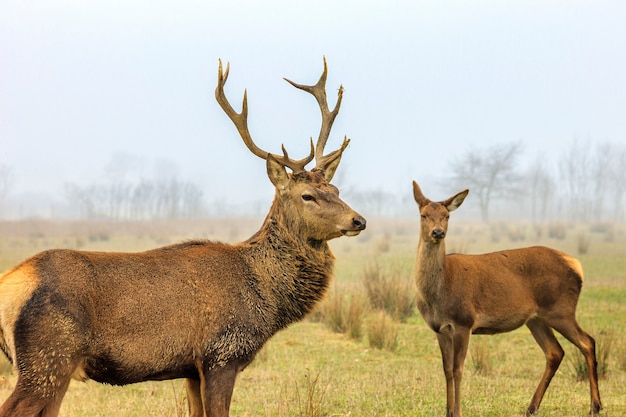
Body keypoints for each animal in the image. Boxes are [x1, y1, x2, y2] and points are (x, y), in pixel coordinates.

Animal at [0, 59, 366, 416]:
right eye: (308, 196)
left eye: (336, 189)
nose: (358, 220)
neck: (265, 296)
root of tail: (11, 283)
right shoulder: (221, 354)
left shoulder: (191, 369)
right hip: (49, 356)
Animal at [410, 181, 600, 416]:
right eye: (423, 215)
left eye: (447, 216)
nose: (438, 232)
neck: (437, 294)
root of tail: (577, 265)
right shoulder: (440, 329)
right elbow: (446, 370)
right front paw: (448, 411)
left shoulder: (464, 322)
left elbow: (458, 369)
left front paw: (458, 411)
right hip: (536, 319)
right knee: (555, 351)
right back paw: (531, 407)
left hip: (561, 310)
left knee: (587, 342)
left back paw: (595, 406)